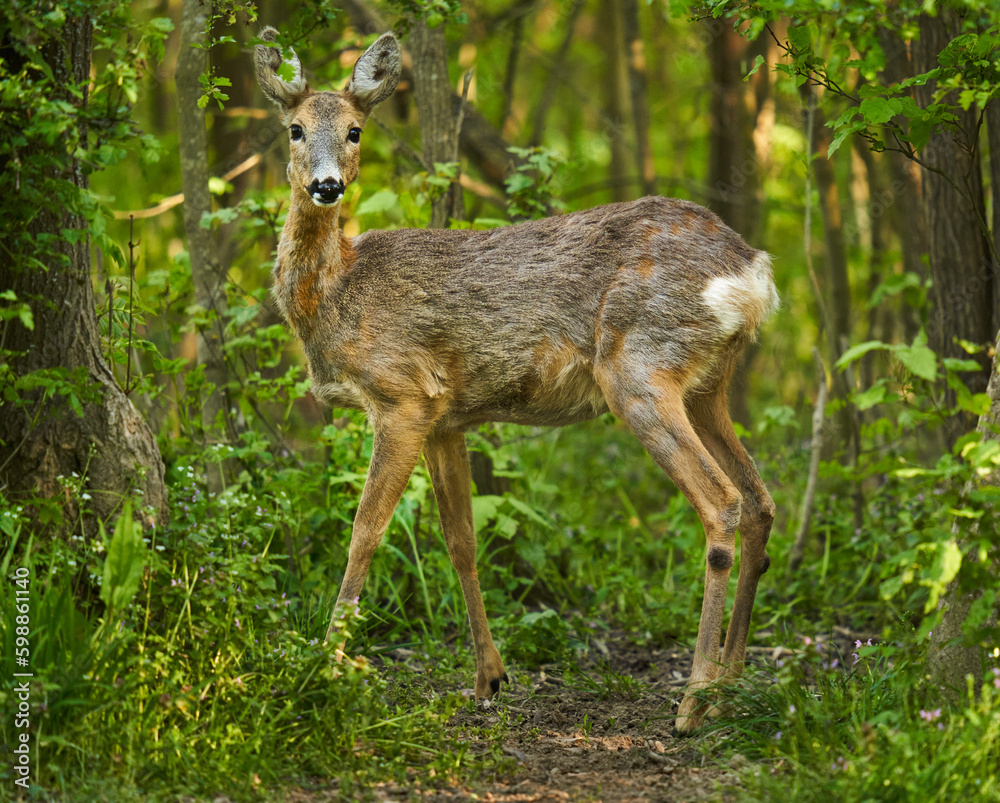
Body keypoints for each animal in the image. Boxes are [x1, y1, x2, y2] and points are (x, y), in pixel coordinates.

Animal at [253, 27, 778, 734]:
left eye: (357, 131)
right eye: (295, 129)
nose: (327, 185)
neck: (336, 296)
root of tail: (752, 273)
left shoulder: (401, 396)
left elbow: (365, 532)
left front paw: (326, 668)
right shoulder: (445, 417)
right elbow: (461, 540)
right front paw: (487, 679)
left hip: (638, 367)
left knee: (721, 502)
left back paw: (693, 702)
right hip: (706, 385)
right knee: (760, 502)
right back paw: (731, 683)